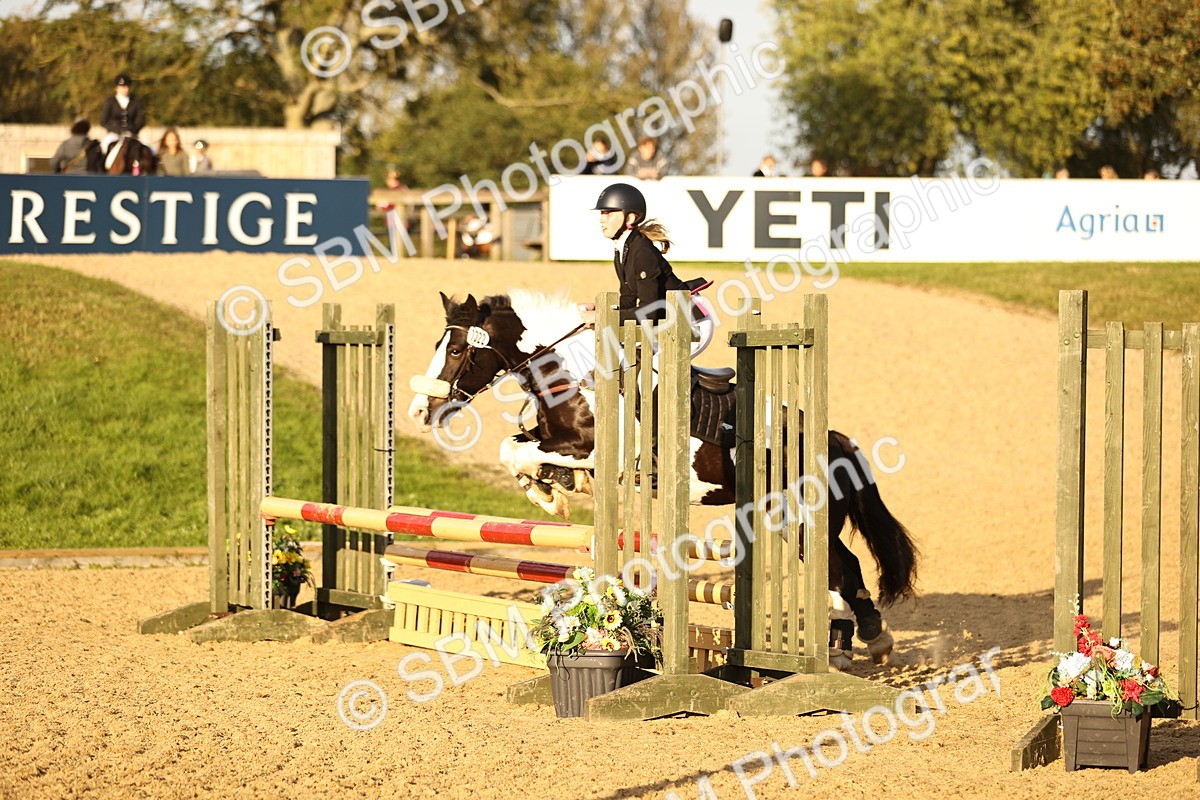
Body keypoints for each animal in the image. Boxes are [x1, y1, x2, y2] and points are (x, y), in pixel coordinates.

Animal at [407, 289, 917, 666]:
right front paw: (551, 489)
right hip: (792, 522)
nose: (420, 412)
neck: (575, 376)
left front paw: (551, 493)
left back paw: (868, 641)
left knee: (844, 569)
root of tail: (833, 439)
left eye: (457, 349)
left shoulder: (591, 448)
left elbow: (519, 450)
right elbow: (515, 448)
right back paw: (846, 646)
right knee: (839, 572)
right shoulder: (556, 440)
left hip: (805, 519)